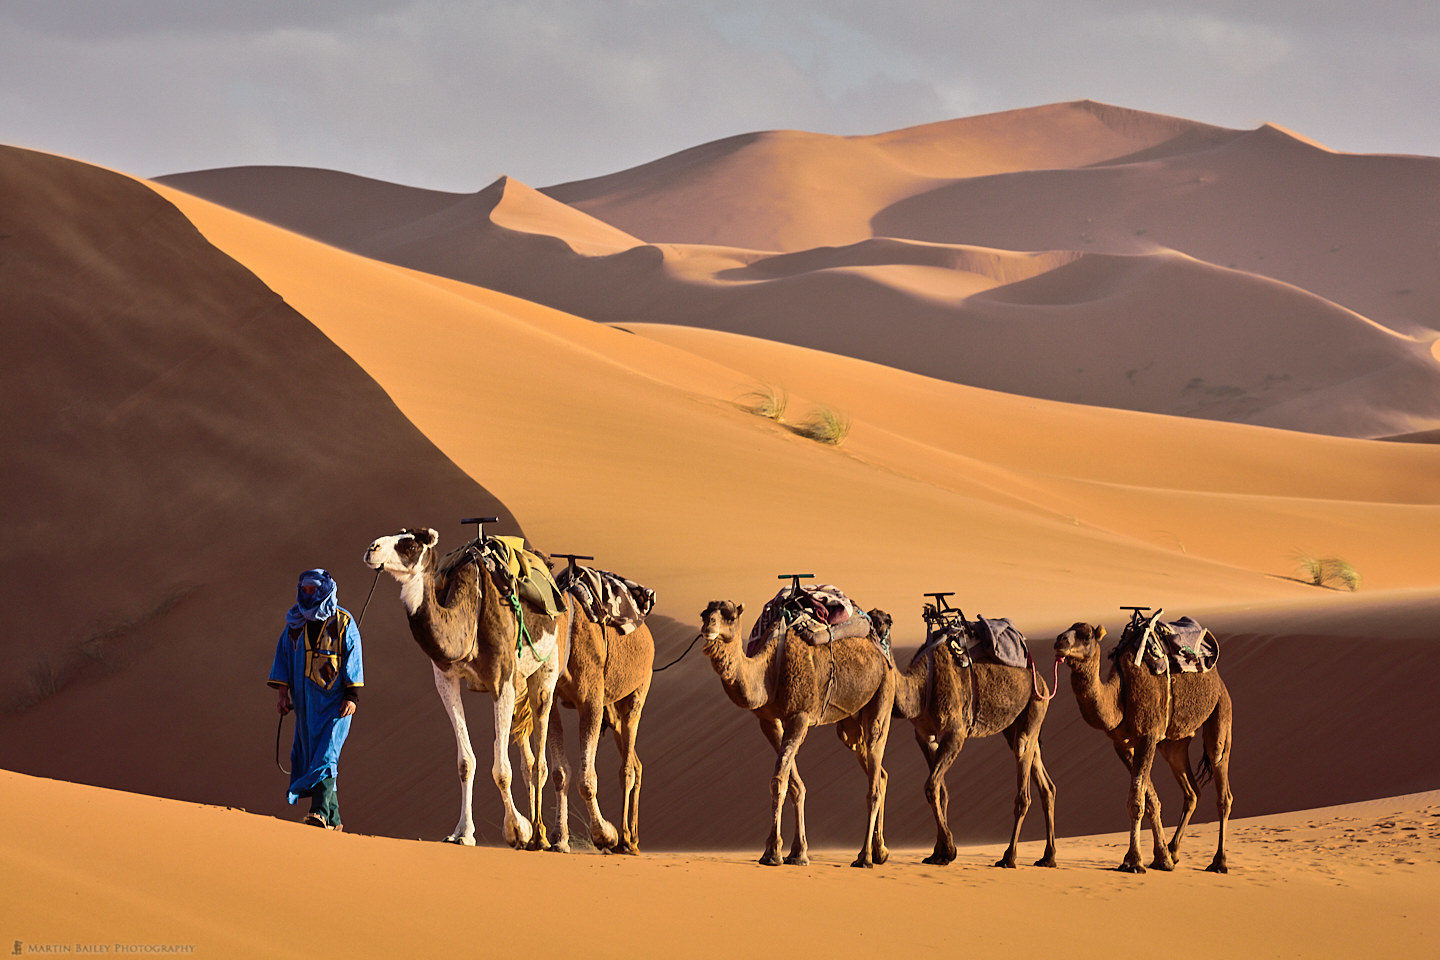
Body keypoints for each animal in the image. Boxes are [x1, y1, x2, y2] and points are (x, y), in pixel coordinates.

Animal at [362, 529, 564, 852]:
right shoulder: (446, 680)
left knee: (541, 759)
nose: (372, 549)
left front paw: (517, 830)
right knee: (527, 755)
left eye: (410, 544)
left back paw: (541, 836)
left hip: (546, 670)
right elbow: (466, 762)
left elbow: (501, 770)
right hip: (521, 683)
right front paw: (463, 833)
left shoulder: (501, 682)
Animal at [547, 601, 656, 857]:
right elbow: (560, 773)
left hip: (638, 689)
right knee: (636, 763)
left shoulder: (591, 700)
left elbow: (587, 780)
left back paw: (625, 838)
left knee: (628, 767)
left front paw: (605, 835)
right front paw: (559, 839)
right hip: (612, 710)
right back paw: (633, 838)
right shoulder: (552, 697)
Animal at [699, 601, 892, 869]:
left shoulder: (799, 715)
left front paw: (772, 852)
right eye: (704, 613)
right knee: (880, 774)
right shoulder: (769, 721)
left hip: (883, 693)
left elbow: (778, 781)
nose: (708, 626)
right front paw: (797, 852)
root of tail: (882, 653)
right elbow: (794, 785)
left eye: (729, 615)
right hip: (850, 724)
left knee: (874, 773)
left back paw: (865, 857)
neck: (769, 670)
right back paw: (881, 851)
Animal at [875, 607, 1059, 869]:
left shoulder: (956, 732)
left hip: (1035, 706)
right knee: (1046, 784)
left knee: (1024, 789)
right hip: (1014, 726)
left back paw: (1008, 857)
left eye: (886, 621)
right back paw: (1048, 857)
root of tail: (1042, 679)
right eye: (871, 615)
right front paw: (937, 853)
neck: (922, 686)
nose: (876, 626)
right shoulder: (924, 735)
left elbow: (931, 786)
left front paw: (949, 850)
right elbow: (940, 791)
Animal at [1054, 618, 1232, 875]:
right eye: (1067, 631)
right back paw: (1174, 851)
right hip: (1174, 744)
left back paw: (1219, 862)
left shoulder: (1147, 736)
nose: (1060, 642)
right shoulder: (1123, 744)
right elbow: (1150, 800)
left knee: (1222, 785)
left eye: (1086, 636)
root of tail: (1218, 680)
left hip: (1221, 710)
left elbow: (1137, 801)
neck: (1118, 696)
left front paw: (1133, 861)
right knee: (1192, 791)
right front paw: (1162, 858)